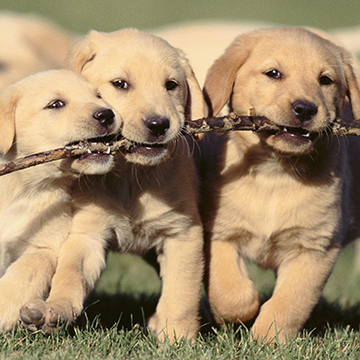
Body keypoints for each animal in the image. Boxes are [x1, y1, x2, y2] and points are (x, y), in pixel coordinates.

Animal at [0, 69, 121, 332]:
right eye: (56, 104)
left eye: (98, 95)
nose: (107, 114)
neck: (20, 189)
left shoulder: (44, 246)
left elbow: (26, 273)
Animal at [20, 28, 205, 340]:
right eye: (120, 84)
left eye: (171, 85)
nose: (159, 125)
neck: (130, 176)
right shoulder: (88, 232)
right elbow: (70, 274)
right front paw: (53, 310)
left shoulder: (183, 233)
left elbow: (181, 294)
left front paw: (176, 339)